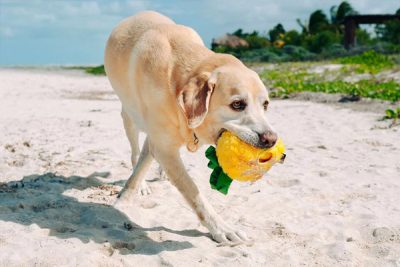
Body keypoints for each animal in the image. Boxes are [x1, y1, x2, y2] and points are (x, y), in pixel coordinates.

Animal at [104, 11, 276, 245]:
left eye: (265, 104)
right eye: (238, 104)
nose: (271, 139)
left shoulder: (161, 143)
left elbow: (149, 161)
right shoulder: (163, 146)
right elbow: (193, 192)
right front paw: (221, 227)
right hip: (129, 118)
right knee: (135, 152)